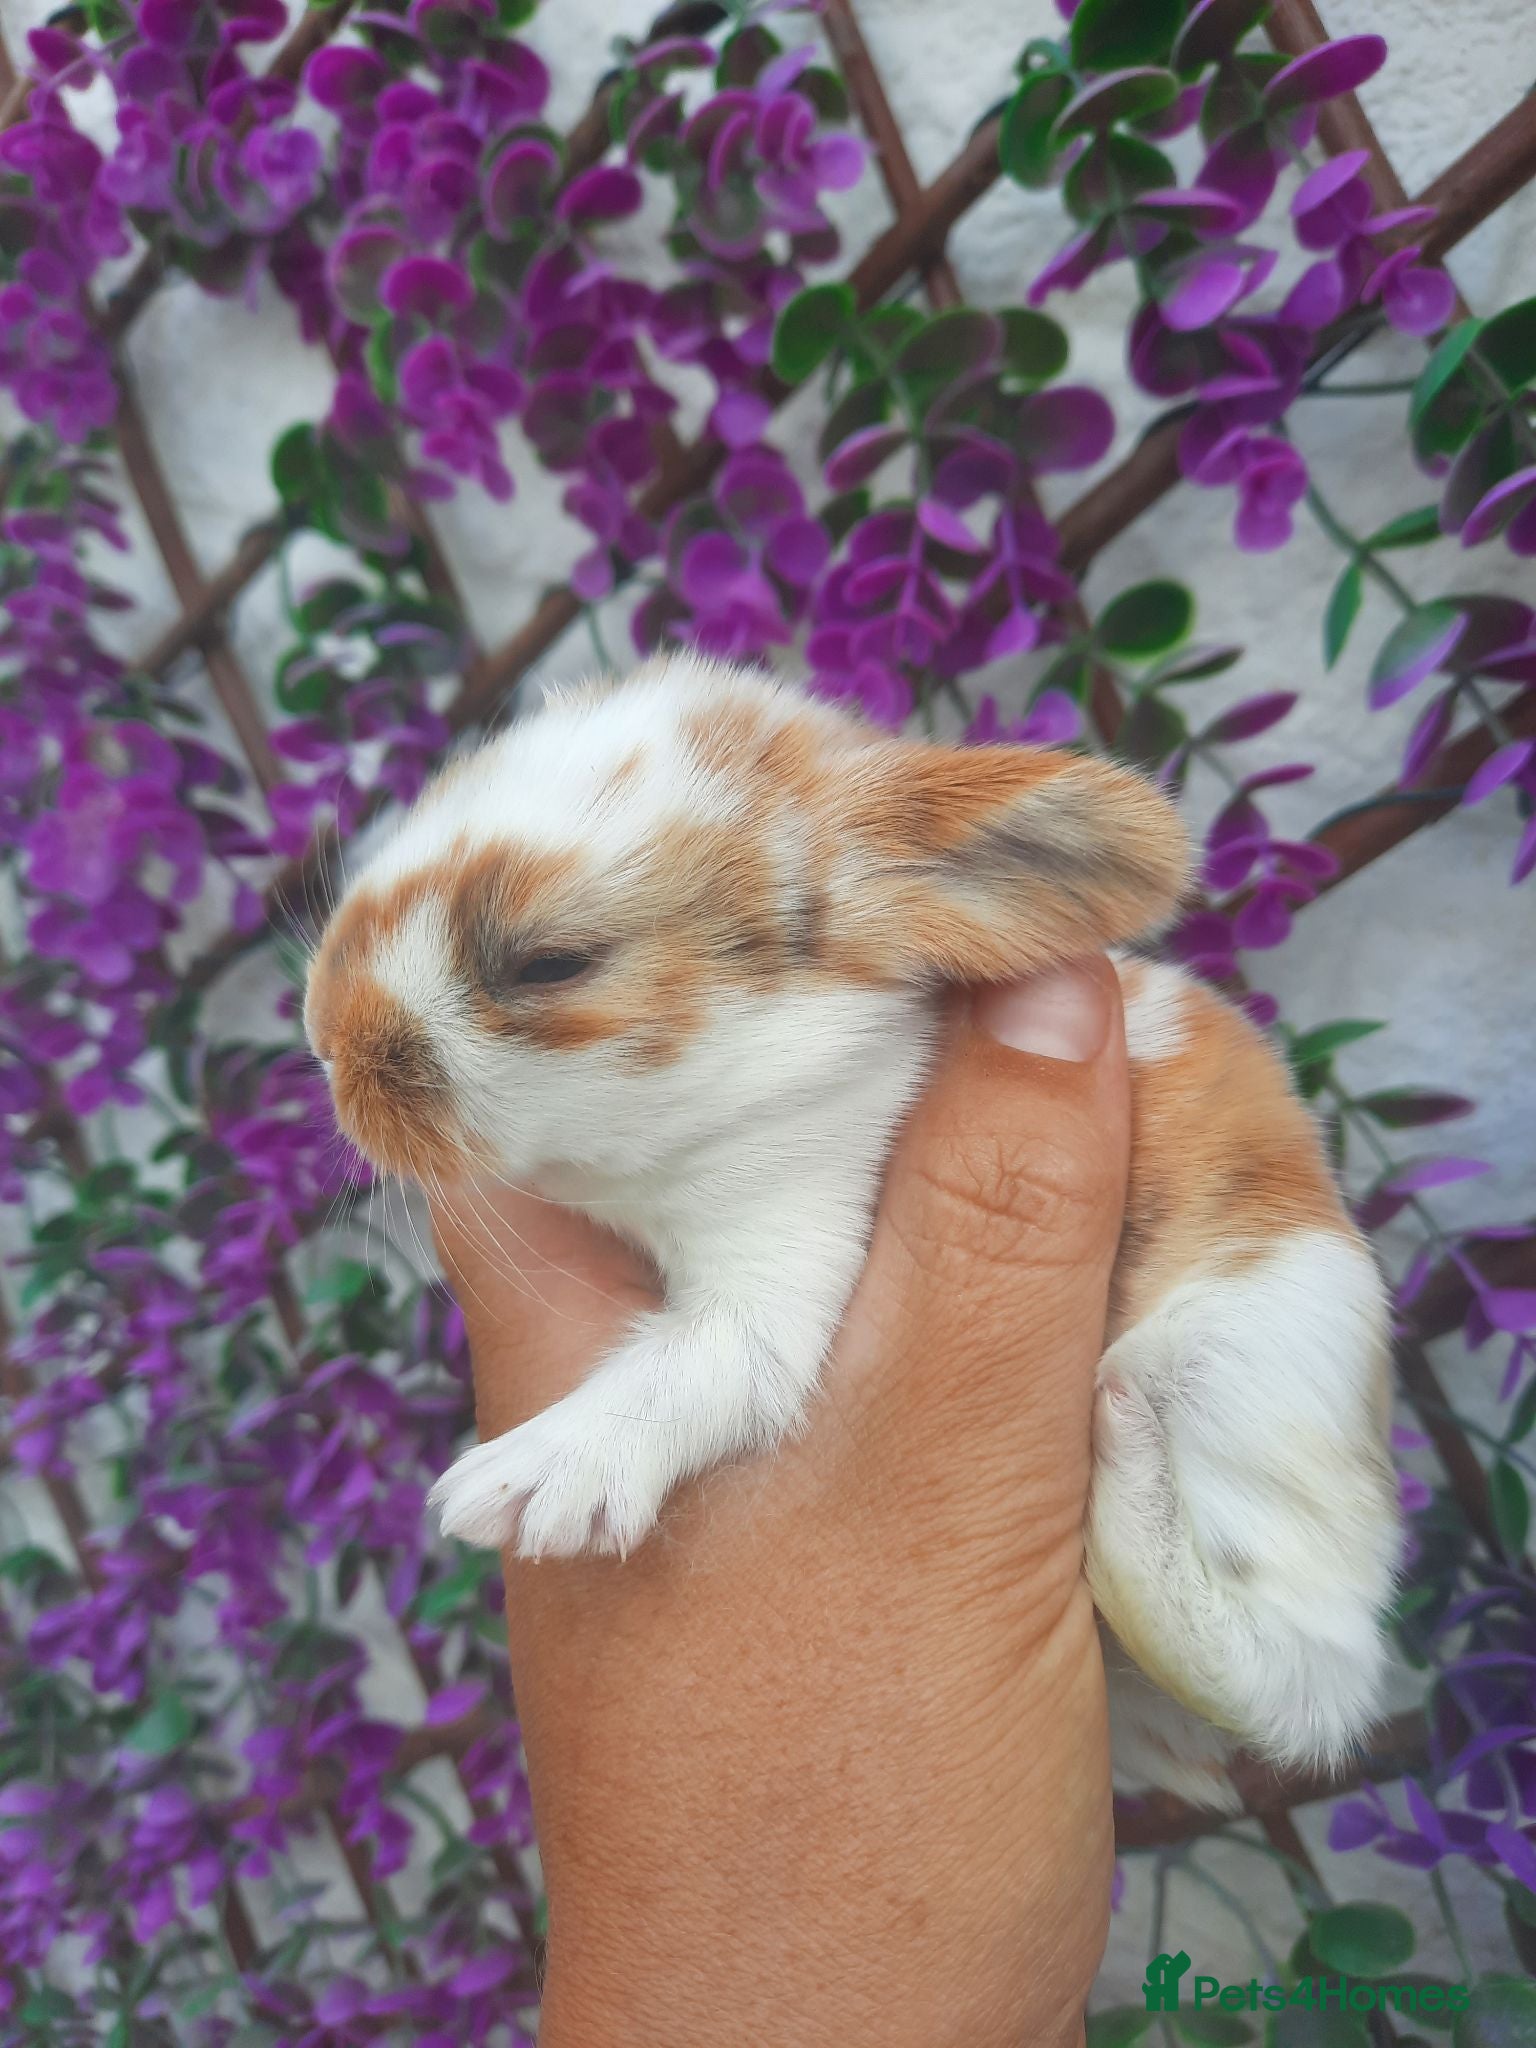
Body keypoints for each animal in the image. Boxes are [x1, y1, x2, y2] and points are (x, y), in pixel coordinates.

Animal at [304, 651, 1401, 1806]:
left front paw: (516, 1486)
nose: (325, 1040)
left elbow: (692, 1366)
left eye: (550, 963)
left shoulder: (792, 1263)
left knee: (1291, 1667)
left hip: (1247, 1363)